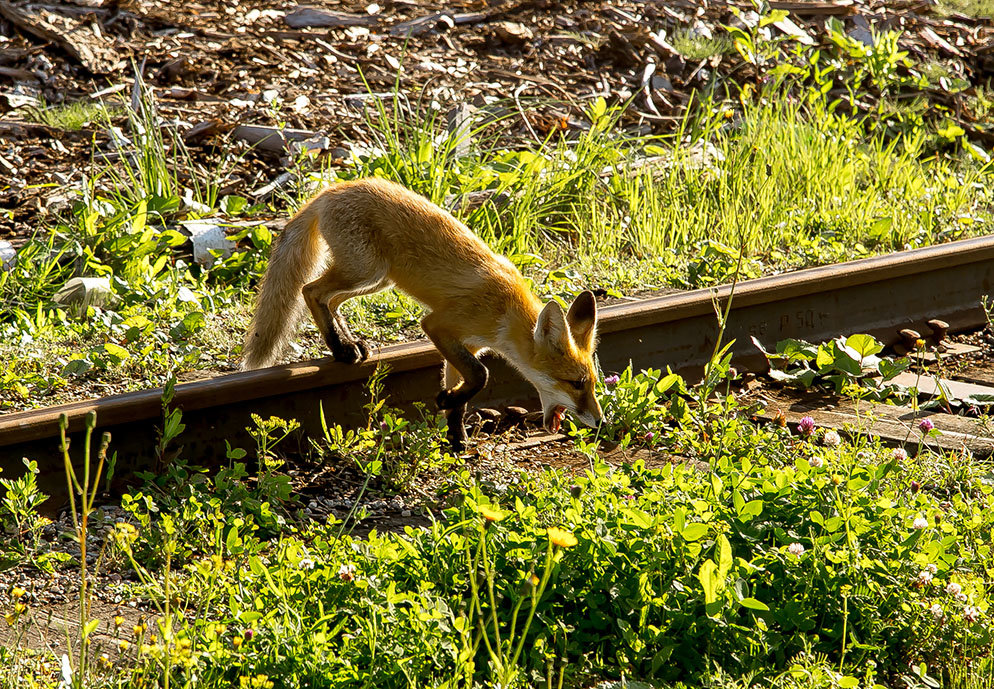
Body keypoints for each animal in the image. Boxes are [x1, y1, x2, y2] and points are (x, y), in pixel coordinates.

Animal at [240, 176, 604, 446]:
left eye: (592, 383)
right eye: (575, 384)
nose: (600, 421)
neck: (505, 312)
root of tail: (331, 189)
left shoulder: (466, 343)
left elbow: (467, 384)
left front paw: (456, 434)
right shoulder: (438, 325)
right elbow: (481, 375)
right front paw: (447, 405)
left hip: (376, 280)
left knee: (329, 300)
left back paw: (348, 344)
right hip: (366, 271)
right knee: (310, 291)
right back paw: (340, 348)